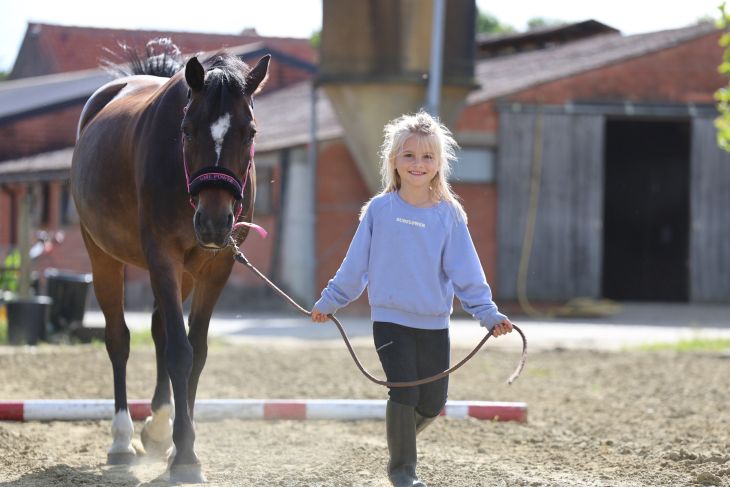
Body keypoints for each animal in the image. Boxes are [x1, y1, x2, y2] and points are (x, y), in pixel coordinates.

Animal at [71, 40, 270, 483]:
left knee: (160, 329)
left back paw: (159, 429)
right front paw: (186, 456)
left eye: (249, 132)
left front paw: (180, 446)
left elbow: (196, 351)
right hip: (102, 255)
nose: (213, 222)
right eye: (186, 130)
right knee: (119, 339)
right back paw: (122, 440)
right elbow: (180, 352)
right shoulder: (162, 255)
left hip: (186, 273)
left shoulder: (215, 268)